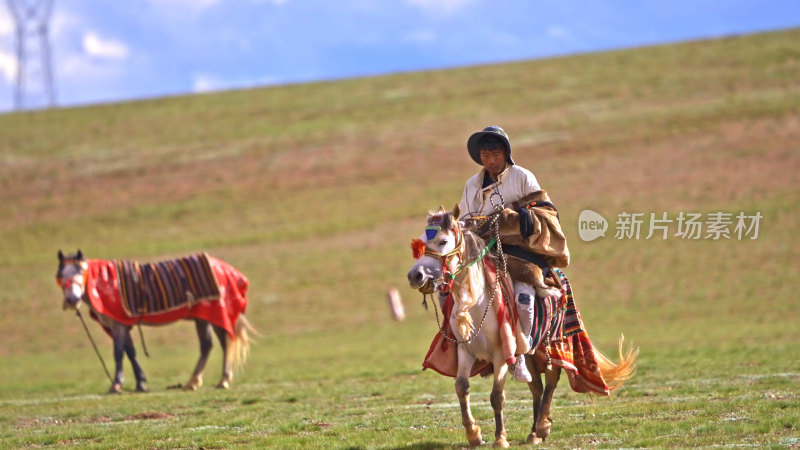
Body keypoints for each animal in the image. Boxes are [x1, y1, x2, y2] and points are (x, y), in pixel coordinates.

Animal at [56, 250, 255, 394]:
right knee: (208, 345)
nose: (73, 299)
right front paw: (140, 384)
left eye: (80, 271)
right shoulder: (122, 325)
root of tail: (226, 269)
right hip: (202, 317)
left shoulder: (118, 324)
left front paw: (116, 385)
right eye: (61, 275)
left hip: (215, 312)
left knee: (224, 342)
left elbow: (119, 353)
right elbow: (131, 352)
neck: (102, 282)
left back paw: (222, 381)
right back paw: (193, 382)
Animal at [406, 207, 636, 446]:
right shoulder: (465, 350)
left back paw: (542, 426)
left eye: (443, 241)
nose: (415, 275)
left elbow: (497, 396)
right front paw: (474, 434)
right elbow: (461, 387)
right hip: (529, 354)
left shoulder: (501, 352)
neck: (475, 303)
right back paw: (534, 433)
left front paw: (500, 438)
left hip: (553, 344)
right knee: (536, 387)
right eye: (421, 241)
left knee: (551, 381)